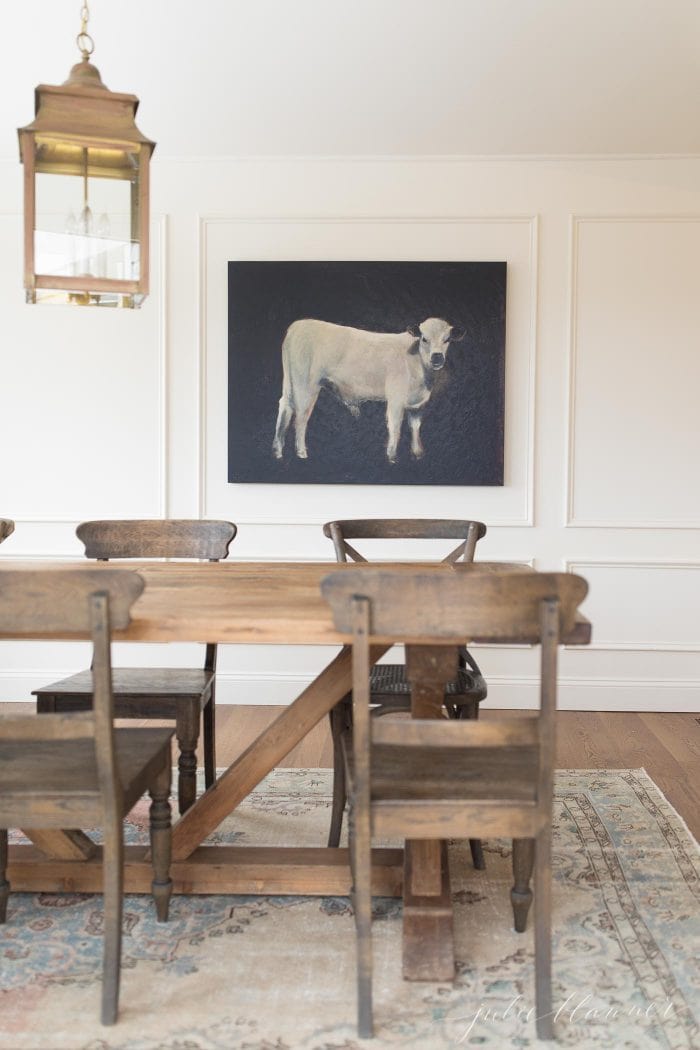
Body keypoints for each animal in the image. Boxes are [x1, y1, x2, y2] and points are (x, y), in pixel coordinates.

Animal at [272, 315, 465, 464]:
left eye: (447, 339)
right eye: (424, 338)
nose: (437, 357)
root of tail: (298, 325)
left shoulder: (419, 403)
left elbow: (415, 426)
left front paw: (418, 454)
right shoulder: (395, 399)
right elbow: (395, 426)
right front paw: (392, 457)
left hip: (290, 382)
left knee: (285, 407)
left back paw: (277, 450)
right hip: (305, 385)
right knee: (301, 417)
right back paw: (301, 453)